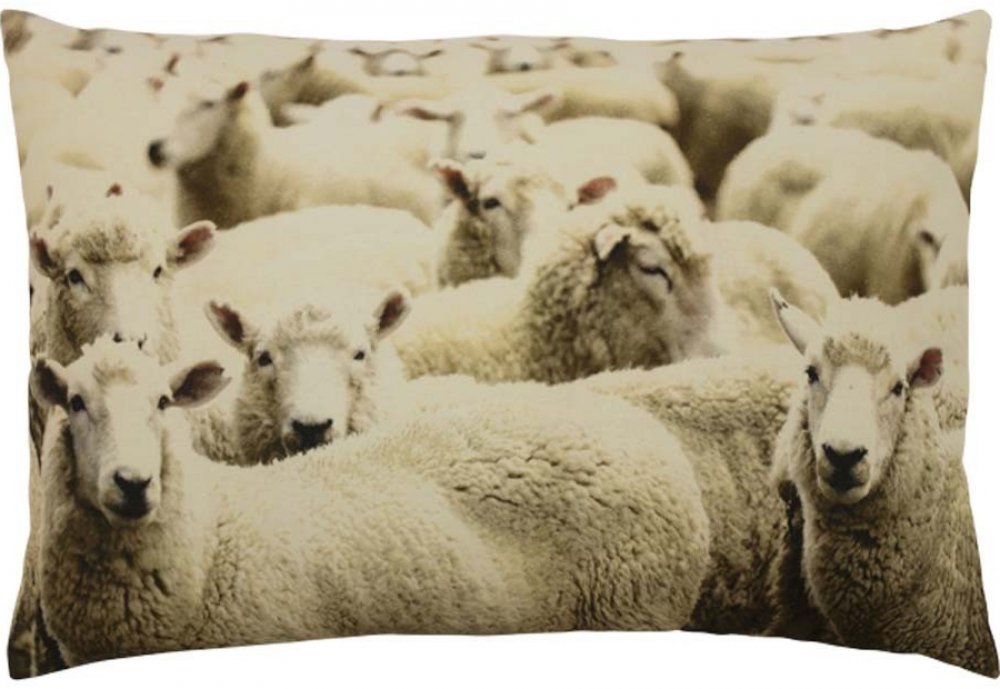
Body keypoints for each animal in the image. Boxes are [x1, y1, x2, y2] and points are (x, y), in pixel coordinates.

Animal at [31, 337, 709, 668]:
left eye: (164, 402)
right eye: (76, 403)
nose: (133, 481)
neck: (210, 544)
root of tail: (642, 429)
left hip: (635, 608)